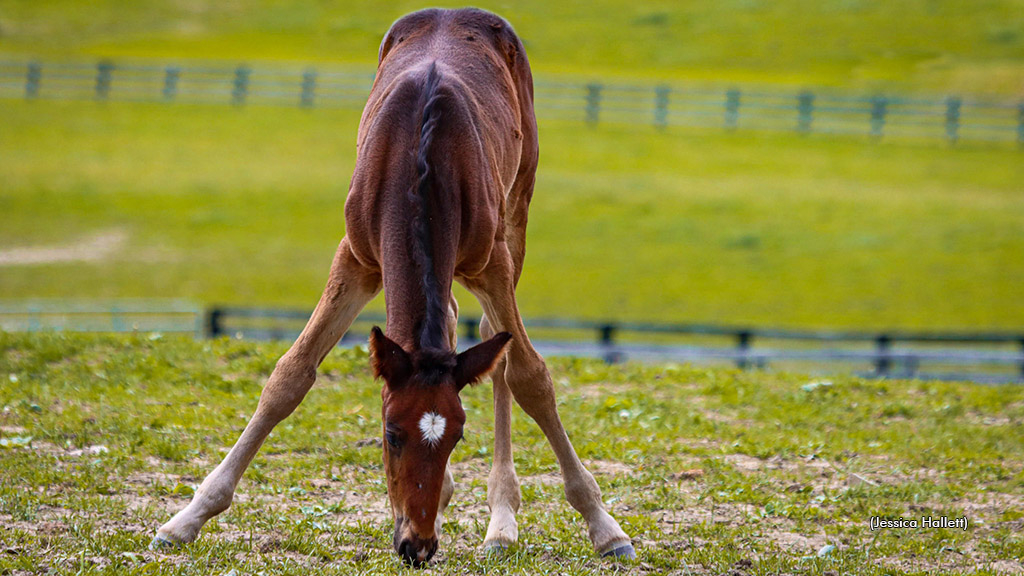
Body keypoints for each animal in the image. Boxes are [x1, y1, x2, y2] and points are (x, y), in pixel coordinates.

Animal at [150, 6, 630, 561]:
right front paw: (185, 519)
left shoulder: (492, 263)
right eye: (390, 433)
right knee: (449, 317)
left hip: (517, 212)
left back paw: (501, 520)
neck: (421, 158)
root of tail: (453, 11)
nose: (416, 545)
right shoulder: (356, 258)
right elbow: (290, 376)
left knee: (496, 346)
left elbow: (530, 377)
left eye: (457, 437)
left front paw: (603, 525)